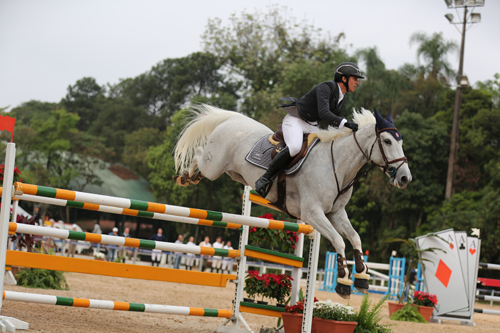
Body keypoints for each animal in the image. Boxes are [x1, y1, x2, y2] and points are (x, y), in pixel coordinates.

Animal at [174, 104, 412, 298]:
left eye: (400, 141)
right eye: (387, 141)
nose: (405, 178)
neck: (337, 165)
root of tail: (233, 119)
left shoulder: (336, 213)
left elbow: (354, 238)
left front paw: (362, 277)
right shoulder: (312, 214)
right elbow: (339, 240)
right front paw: (344, 282)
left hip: (233, 173)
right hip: (213, 167)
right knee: (198, 154)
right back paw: (186, 176)